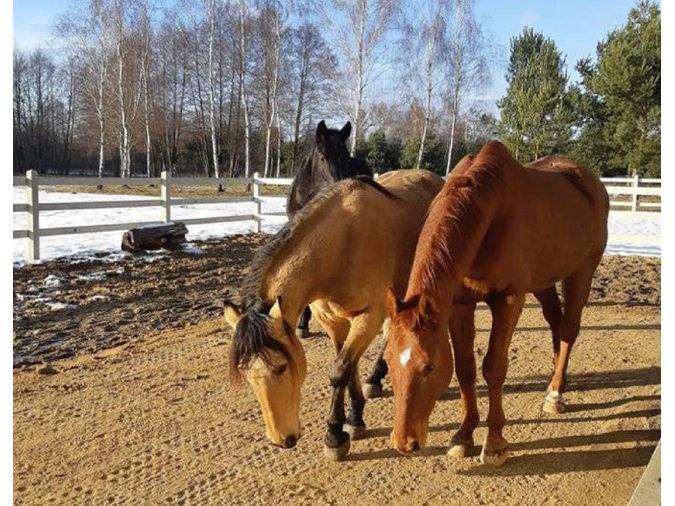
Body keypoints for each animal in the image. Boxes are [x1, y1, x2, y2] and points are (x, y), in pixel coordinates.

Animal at [223, 169, 444, 458]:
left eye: (281, 367)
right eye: (246, 372)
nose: (282, 440)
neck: (342, 246)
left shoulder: (367, 316)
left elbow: (340, 371)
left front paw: (335, 435)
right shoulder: (334, 322)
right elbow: (348, 367)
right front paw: (355, 417)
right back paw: (375, 378)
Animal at [382, 141, 608, 466]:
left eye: (429, 367)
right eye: (387, 361)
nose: (404, 442)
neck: (489, 215)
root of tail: (592, 183)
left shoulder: (509, 300)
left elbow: (494, 368)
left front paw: (495, 442)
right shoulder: (458, 305)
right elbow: (466, 368)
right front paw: (463, 435)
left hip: (581, 273)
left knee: (568, 329)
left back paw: (555, 395)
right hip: (543, 282)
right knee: (555, 320)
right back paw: (558, 380)